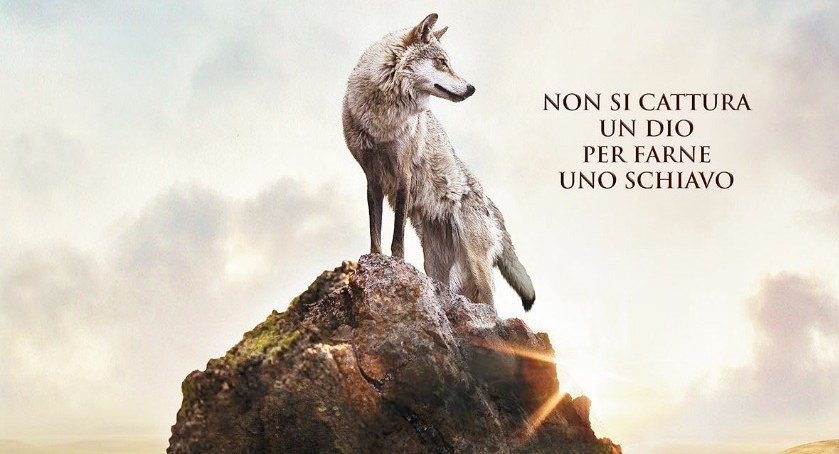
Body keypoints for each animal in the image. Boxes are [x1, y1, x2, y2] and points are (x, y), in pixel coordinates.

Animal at [342, 13, 535, 310]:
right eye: (442, 62)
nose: (471, 88)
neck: (382, 118)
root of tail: (490, 203)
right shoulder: (372, 178)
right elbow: (376, 233)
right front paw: (373, 264)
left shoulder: (403, 174)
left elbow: (397, 237)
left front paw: (396, 265)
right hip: (435, 264)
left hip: (476, 267)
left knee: (492, 307)